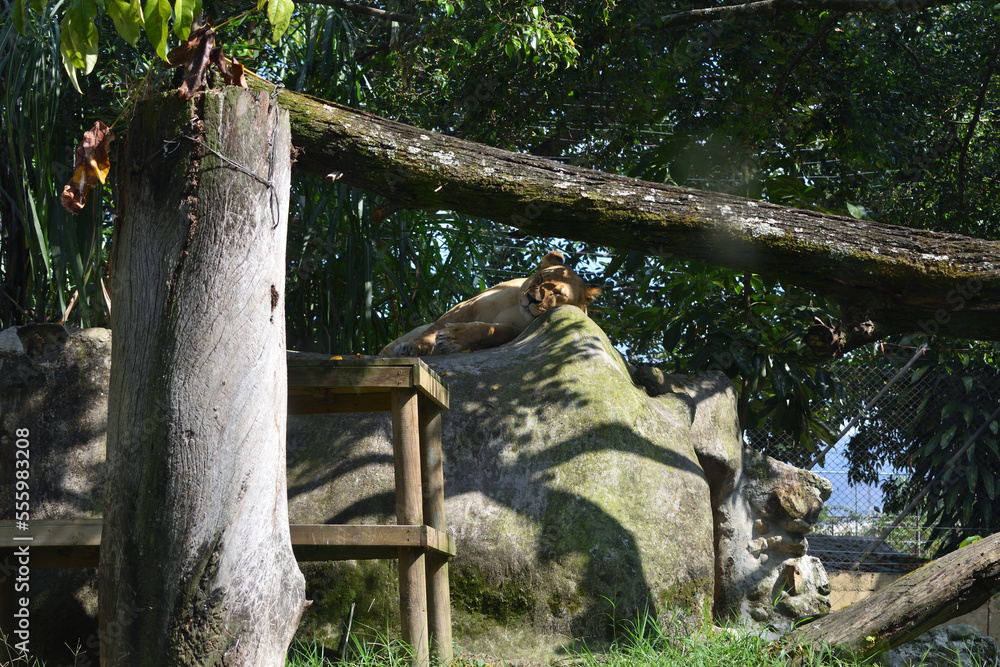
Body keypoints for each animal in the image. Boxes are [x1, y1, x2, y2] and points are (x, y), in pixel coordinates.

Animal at [379, 251, 601, 356]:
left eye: (557, 294)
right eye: (540, 278)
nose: (532, 299)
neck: (516, 308)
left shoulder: (515, 332)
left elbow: (487, 331)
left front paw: (453, 338)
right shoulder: (466, 305)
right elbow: (434, 328)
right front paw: (414, 347)